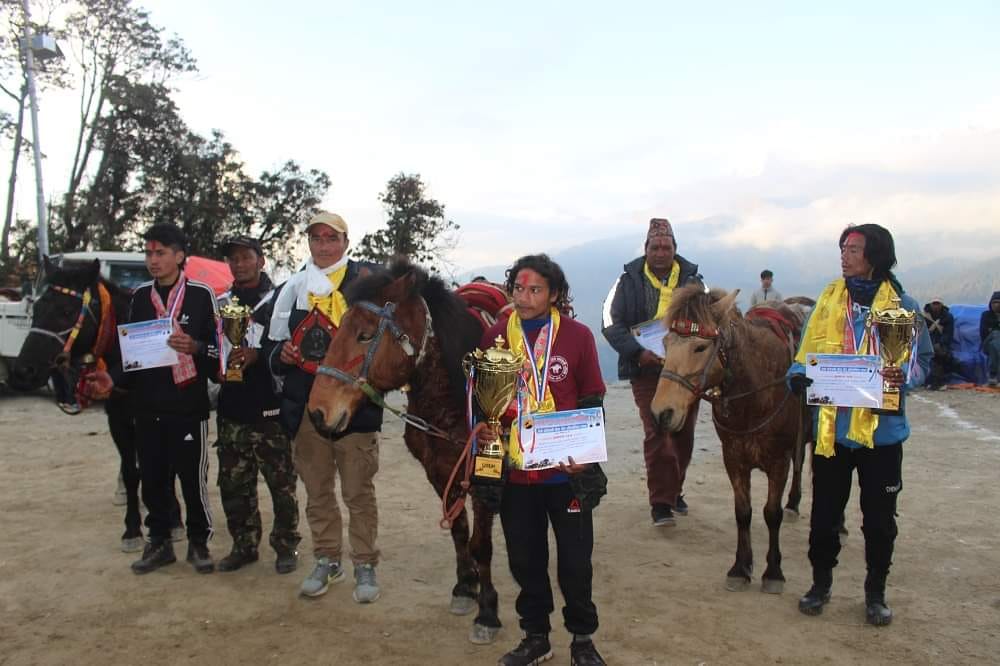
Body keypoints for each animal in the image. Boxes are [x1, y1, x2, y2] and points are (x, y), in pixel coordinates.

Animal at [13, 258, 145, 548]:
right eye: (36, 308)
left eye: (66, 311)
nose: (24, 371)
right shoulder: (118, 417)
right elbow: (131, 471)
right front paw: (133, 529)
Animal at [304, 260, 500, 644]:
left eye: (365, 335)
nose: (318, 412)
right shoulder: (440, 472)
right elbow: (459, 532)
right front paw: (464, 588)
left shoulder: (484, 479)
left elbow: (481, 545)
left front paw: (487, 611)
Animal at [648, 284, 812, 592]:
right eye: (666, 343)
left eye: (700, 347)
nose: (661, 412)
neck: (756, 391)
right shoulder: (733, 458)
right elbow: (743, 512)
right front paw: (740, 567)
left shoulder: (778, 461)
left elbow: (772, 513)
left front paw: (773, 572)